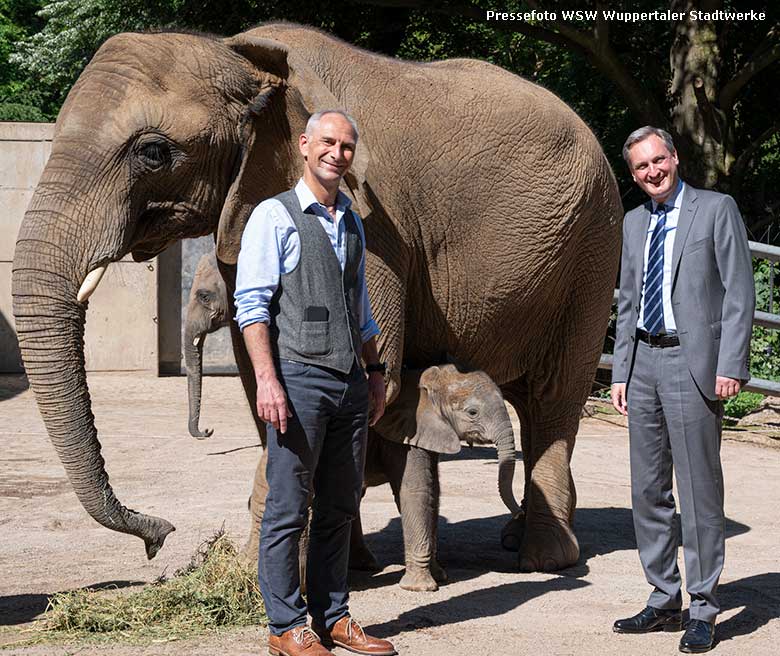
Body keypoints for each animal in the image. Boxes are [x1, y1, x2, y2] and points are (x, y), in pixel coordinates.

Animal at [10, 24, 620, 568]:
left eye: (154, 152)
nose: (158, 538)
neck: (242, 57)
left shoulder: (377, 224)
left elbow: (374, 374)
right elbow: (266, 375)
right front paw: (334, 570)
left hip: (593, 247)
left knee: (555, 395)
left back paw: (544, 559)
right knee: (527, 397)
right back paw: (517, 540)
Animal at [350, 366, 520, 592]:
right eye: (472, 412)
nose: (519, 513)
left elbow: (433, 491)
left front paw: (440, 576)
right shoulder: (404, 435)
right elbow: (417, 490)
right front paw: (421, 587)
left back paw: (366, 564)